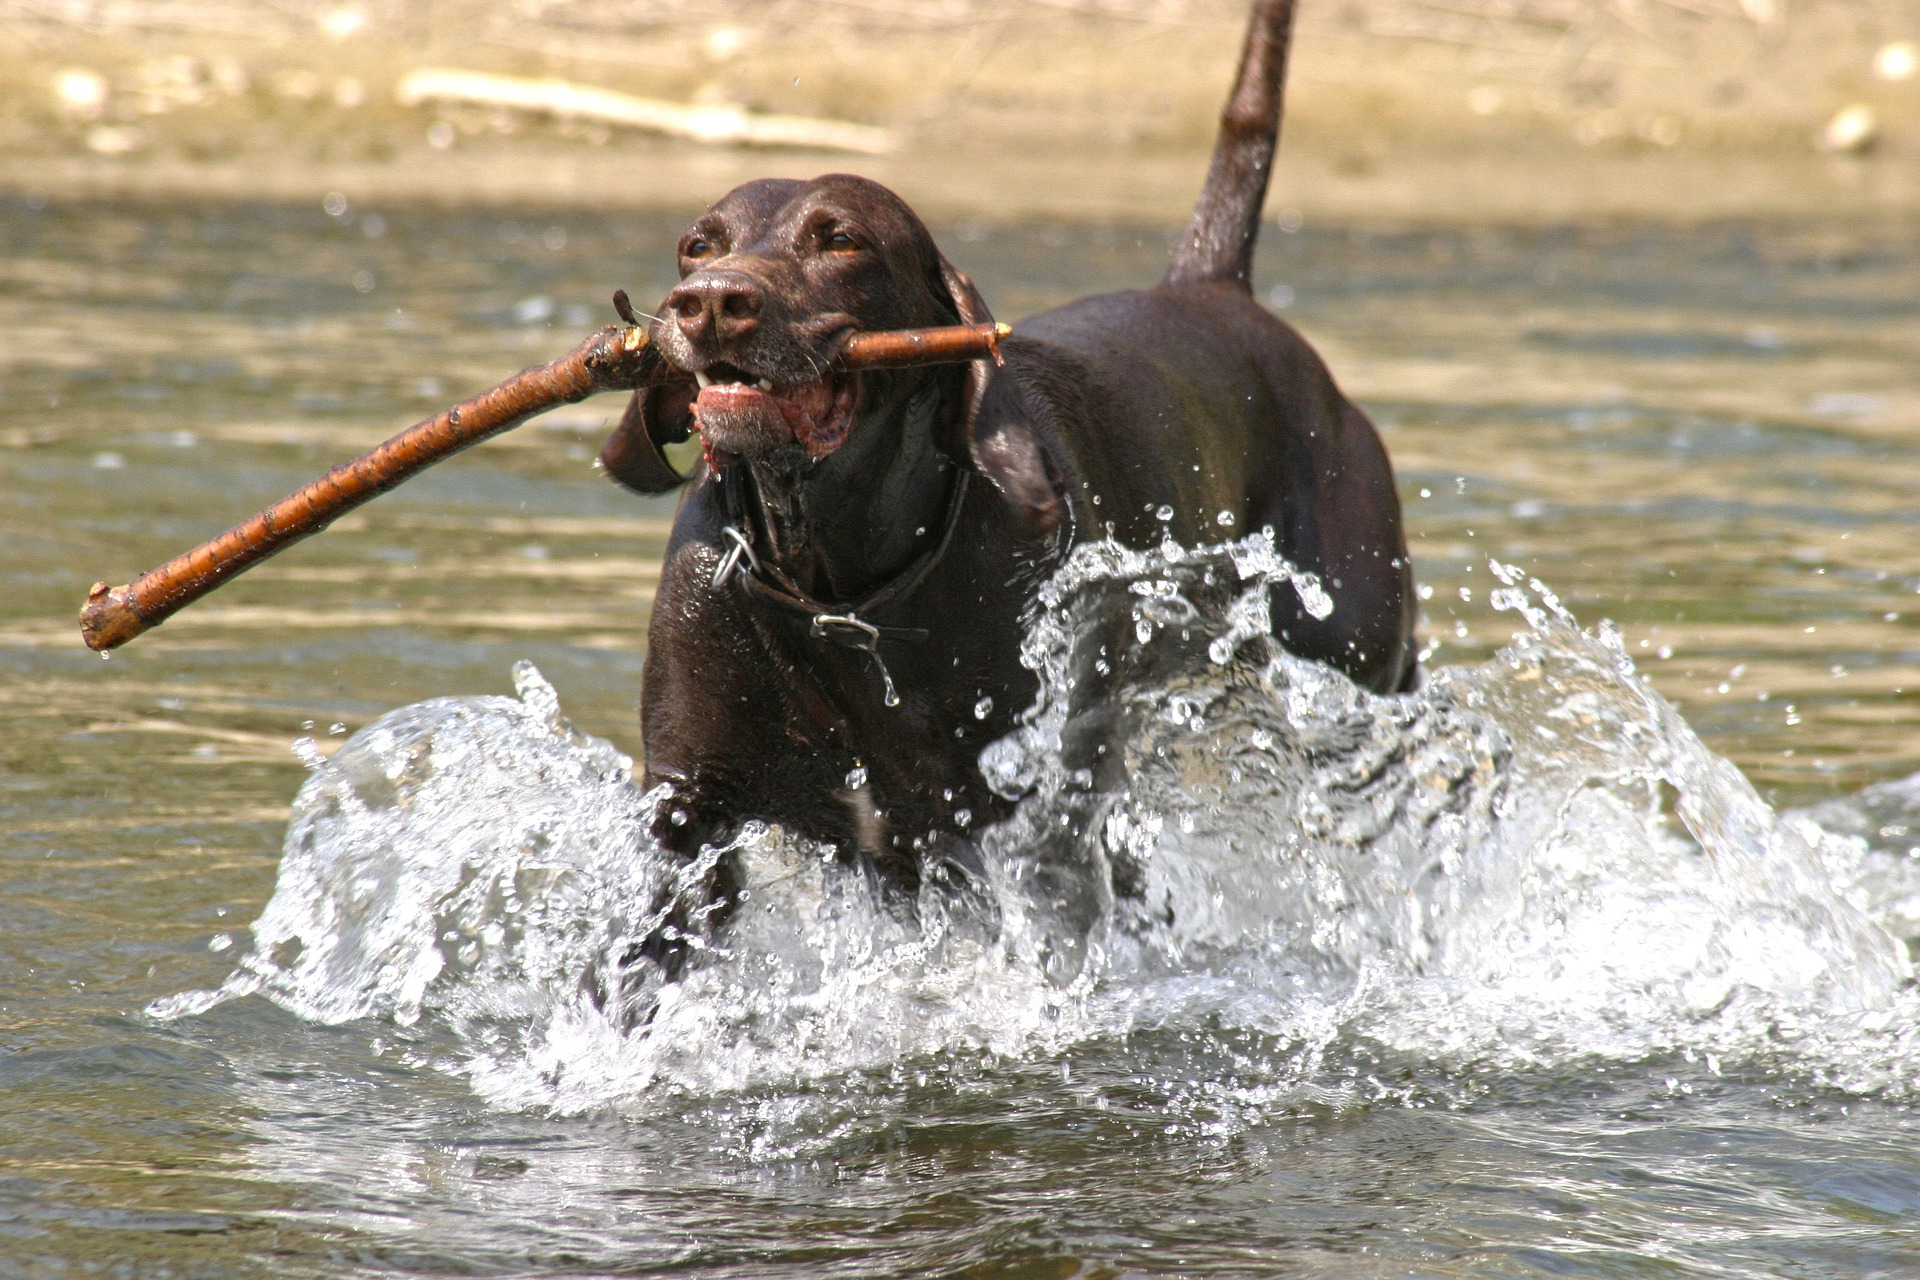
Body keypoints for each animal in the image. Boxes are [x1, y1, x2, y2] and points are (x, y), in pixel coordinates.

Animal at [591, 0, 1420, 990]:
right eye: (697, 243)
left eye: (841, 239)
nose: (710, 300)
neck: (838, 588)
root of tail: (1215, 287)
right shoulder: (691, 814)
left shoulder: (1023, 823)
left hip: (1353, 668)